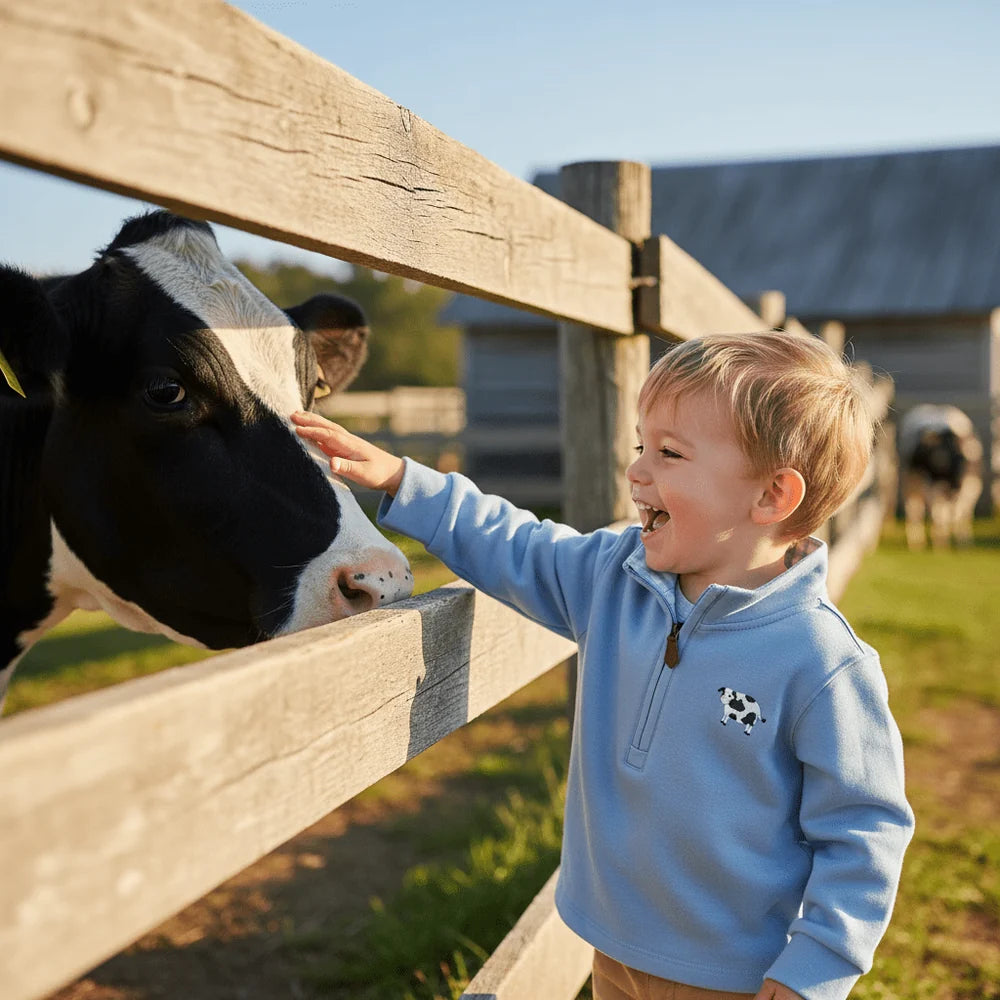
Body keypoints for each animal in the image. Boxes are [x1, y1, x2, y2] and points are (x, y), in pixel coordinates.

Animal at [898, 404, 983, 550]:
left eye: (968, 463)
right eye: (943, 460)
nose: (959, 482)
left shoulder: (971, 488)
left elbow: (963, 514)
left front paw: (963, 542)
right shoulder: (934, 487)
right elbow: (939, 515)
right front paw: (941, 543)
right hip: (910, 480)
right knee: (914, 508)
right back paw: (916, 541)